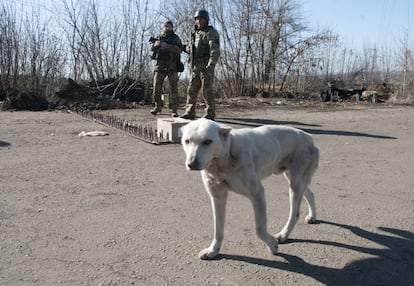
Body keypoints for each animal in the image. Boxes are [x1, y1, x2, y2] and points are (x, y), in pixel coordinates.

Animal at [180, 118, 318, 260]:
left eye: (208, 141)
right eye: (187, 141)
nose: (191, 164)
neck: (227, 155)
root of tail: (308, 136)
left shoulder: (257, 194)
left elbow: (259, 230)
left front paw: (272, 245)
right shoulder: (218, 197)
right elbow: (218, 230)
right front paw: (213, 250)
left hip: (295, 184)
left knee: (295, 213)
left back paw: (283, 234)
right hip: (295, 181)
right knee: (310, 194)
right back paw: (312, 216)